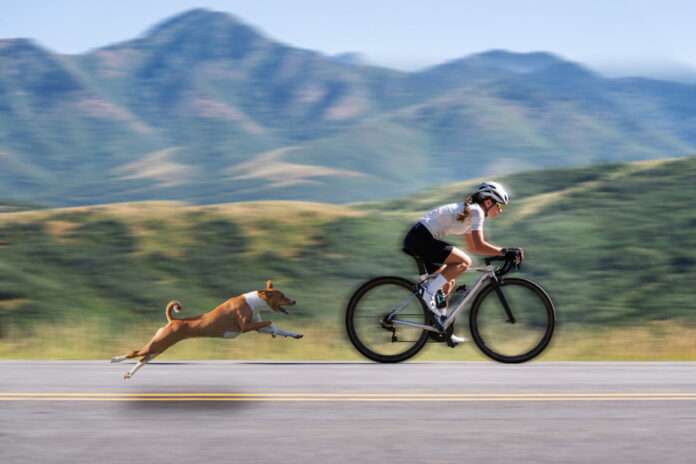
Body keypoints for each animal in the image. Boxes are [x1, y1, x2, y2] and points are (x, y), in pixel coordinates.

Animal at [111, 280, 302, 378]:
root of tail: (173, 320)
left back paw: (129, 373)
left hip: (158, 348)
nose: (294, 301)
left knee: (142, 359)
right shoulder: (245, 326)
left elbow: (278, 328)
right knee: (135, 353)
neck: (253, 302)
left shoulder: (256, 327)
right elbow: (270, 322)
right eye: (282, 296)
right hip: (157, 344)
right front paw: (275, 331)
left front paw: (294, 334)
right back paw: (116, 359)